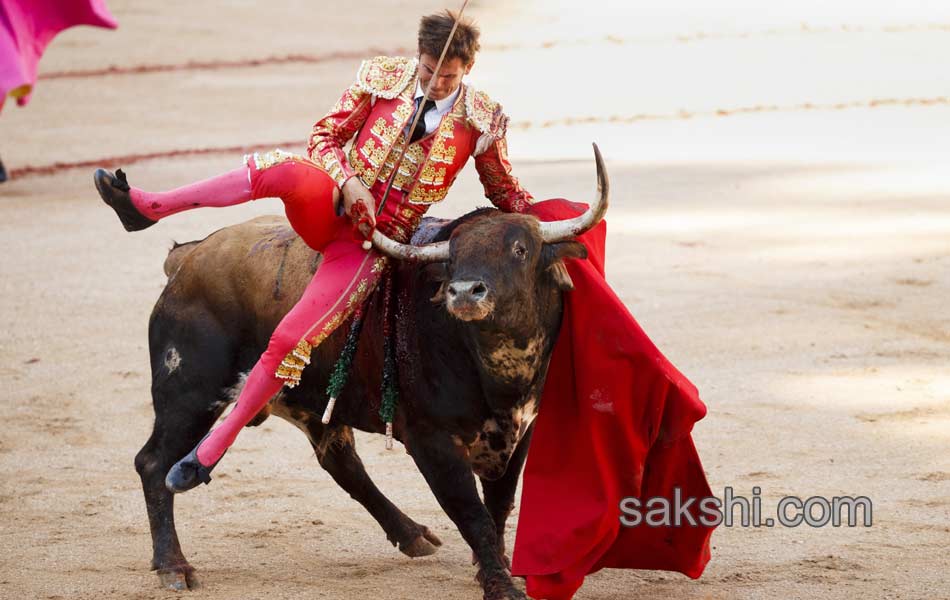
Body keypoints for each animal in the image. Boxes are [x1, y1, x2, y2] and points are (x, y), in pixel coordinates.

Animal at [134, 146, 608, 600]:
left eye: (520, 249)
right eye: (453, 259)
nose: (463, 292)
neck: (496, 369)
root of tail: (188, 258)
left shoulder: (522, 429)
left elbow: (500, 503)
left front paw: (497, 569)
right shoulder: (430, 440)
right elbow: (472, 513)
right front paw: (500, 585)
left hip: (309, 401)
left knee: (341, 461)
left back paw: (411, 534)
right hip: (189, 392)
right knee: (155, 462)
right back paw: (174, 563)